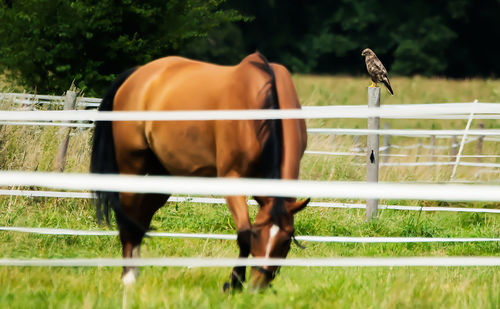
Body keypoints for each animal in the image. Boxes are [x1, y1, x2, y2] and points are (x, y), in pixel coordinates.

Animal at [90, 51, 308, 290]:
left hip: (162, 175)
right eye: (257, 235)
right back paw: (128, 277)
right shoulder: (232, 177)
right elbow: (242, 233)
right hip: (131, 167)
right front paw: (234, 284)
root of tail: (137, 74)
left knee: (141, 218)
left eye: (286, 240)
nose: (258, 285)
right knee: (128, 218)